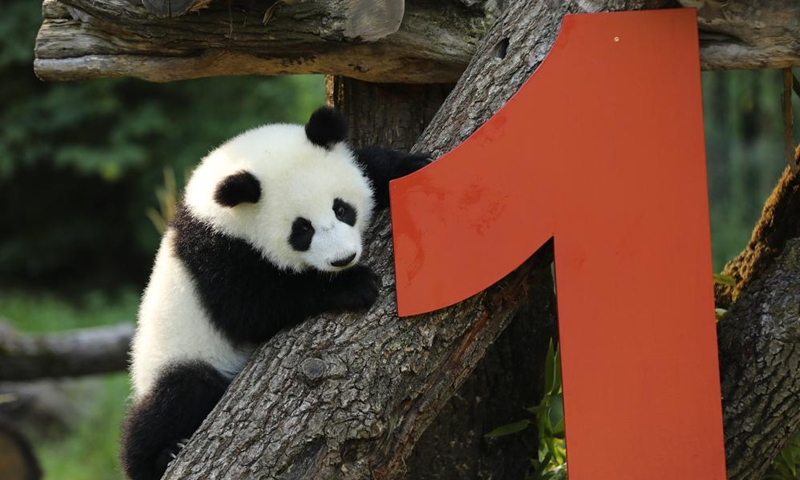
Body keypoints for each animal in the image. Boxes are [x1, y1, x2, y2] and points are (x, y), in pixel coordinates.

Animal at [120, 107, 429, 480]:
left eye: (341, 209)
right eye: (302, 229)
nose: (343, 259)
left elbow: (370, 164)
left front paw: (412, 166)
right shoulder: (218, 253)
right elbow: (252, 307)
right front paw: (354, 285)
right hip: (177, 354)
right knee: (178, 395)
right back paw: (162, 455)